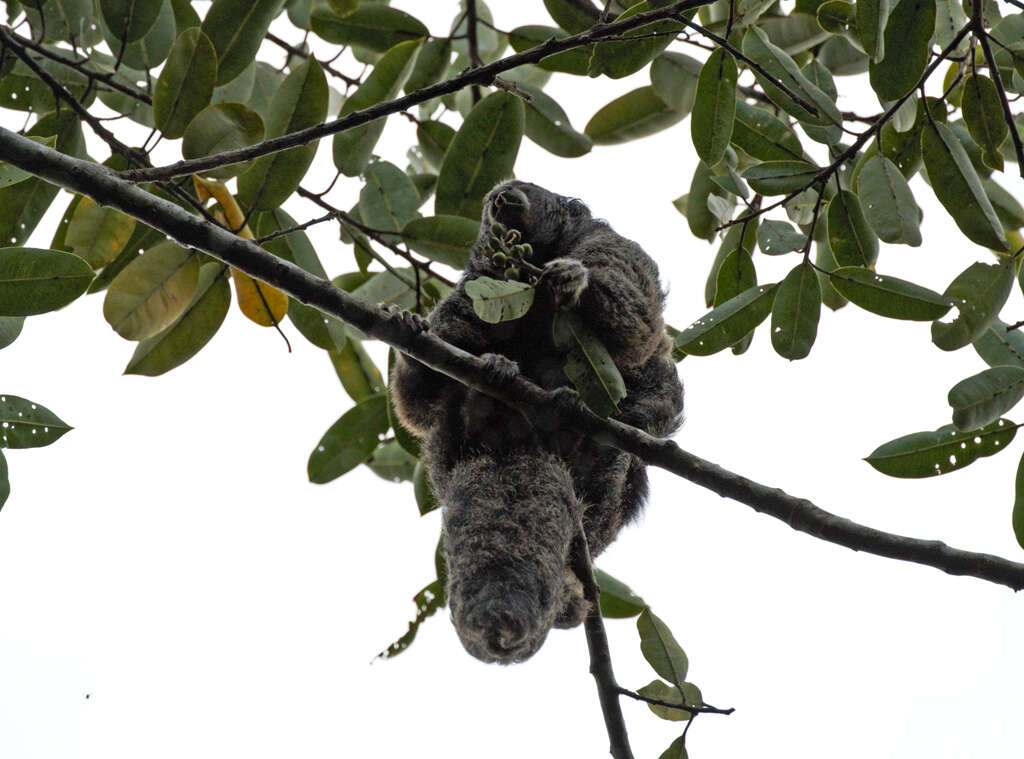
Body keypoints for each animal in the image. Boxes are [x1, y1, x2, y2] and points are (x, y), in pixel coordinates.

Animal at [387, 182, 684, 663]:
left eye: (520, 189)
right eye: (493, 199)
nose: (502, 198)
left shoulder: (617, 248)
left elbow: (636, 325)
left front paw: (574, 281)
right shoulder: (477, 279)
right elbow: (420, 401)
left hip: (607, 490)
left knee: (654, 393)